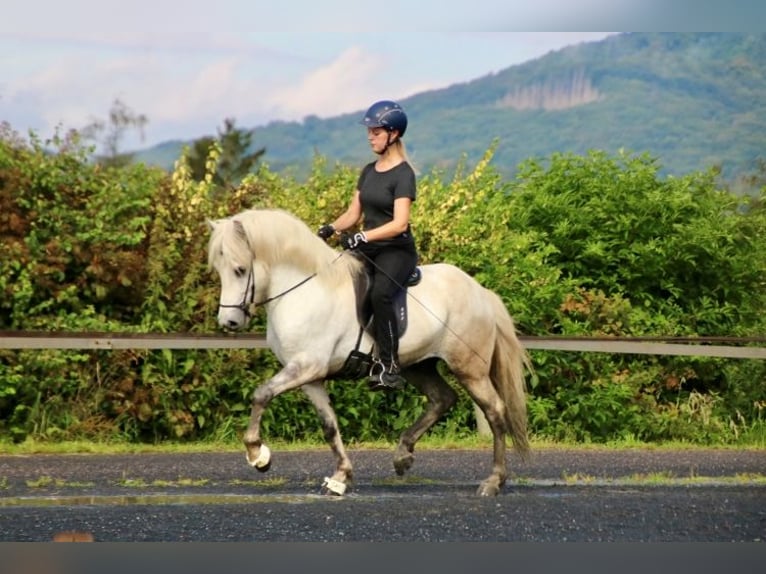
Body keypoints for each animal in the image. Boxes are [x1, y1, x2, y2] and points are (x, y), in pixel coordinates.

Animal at [207, 208, 531, 496]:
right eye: (219, 270)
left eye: (240, 270)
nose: (229, 322)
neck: (304, 290)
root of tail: (481, 292)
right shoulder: (309, 377)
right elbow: (329, 425)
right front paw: (340, 477)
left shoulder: (306, 367)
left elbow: (261, 394)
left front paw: (258, 455)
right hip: (418, 366)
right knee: (442, 398)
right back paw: (403, 456)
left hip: (469, 368)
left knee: (494, 411)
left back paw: (493, 481)